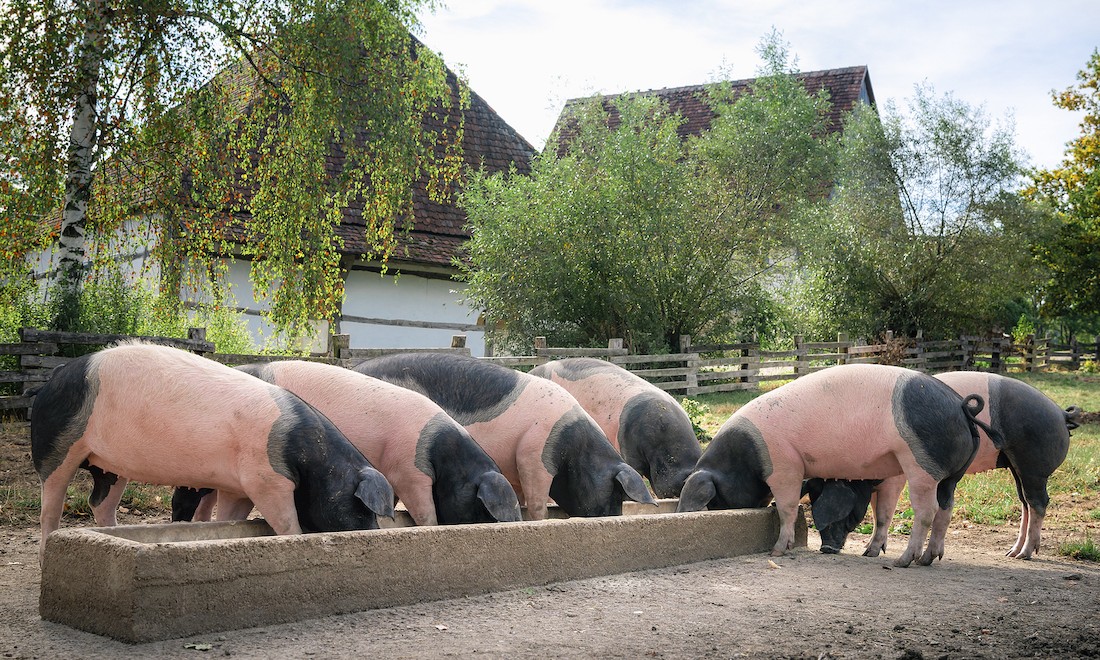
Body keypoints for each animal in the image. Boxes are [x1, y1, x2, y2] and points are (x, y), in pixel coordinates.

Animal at [30, 342, 395, 559]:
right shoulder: (266, 479)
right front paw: (293, 538)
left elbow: (231, 519)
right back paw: (47, 550)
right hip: (56, 446)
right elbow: (287, 523)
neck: (312, 459)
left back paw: (113, 532)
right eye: (361, 507)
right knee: (51, 503)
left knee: (100, 502)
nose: (376, 535)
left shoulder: (239, 487)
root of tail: (56, 374)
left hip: (110, 465)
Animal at [353, 352, 656, 519]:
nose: (613, 518)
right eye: (615, 494)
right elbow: (537, 501)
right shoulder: (532, 454)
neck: (573, 447)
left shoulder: (514, 467)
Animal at [676, 363, 996, 567]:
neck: (747, 455)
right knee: (946, 510)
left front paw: (777, 552)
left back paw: (904, 561)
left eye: (715, 497)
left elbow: (788, 507)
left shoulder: (785, 465)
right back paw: (928, 559)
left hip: (921, 464)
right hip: (952, 476)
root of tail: (962, 407)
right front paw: (869, 552)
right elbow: (880, 513)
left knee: (926, 512)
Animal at [807, 371, 1080, 559]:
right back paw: (1011, 552)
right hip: (1015, 465)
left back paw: (1024, 554)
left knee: (1038, 502)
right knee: (1024, 502)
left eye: (836, 501)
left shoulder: (896, 477)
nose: (826, 548)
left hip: (1033, 463)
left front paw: (871, 552)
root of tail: (1061, 413)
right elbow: (877, 511)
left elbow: (884, 513)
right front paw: (870, 549)